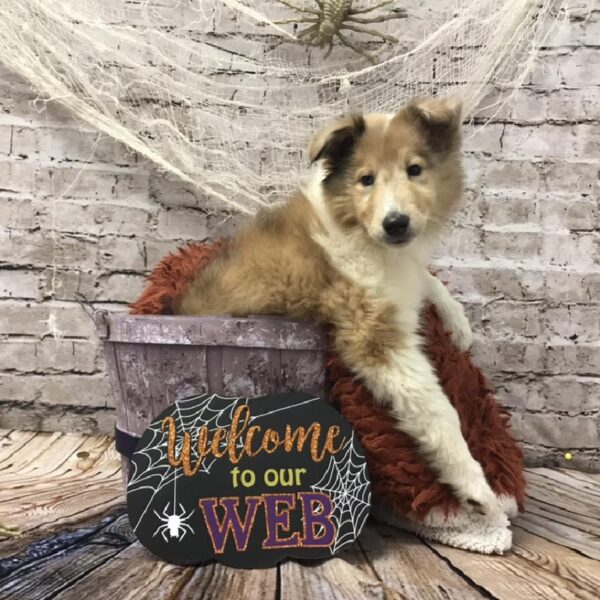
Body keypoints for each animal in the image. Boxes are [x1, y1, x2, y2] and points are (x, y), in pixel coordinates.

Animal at [180, 97, 500, 516]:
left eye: (415, 170)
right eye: (366, 179)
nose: (396, 223)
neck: (360, 231)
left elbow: (427, 277)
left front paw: (459, 323)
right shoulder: (374, 336)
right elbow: (437, 410)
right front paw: (477, 488)